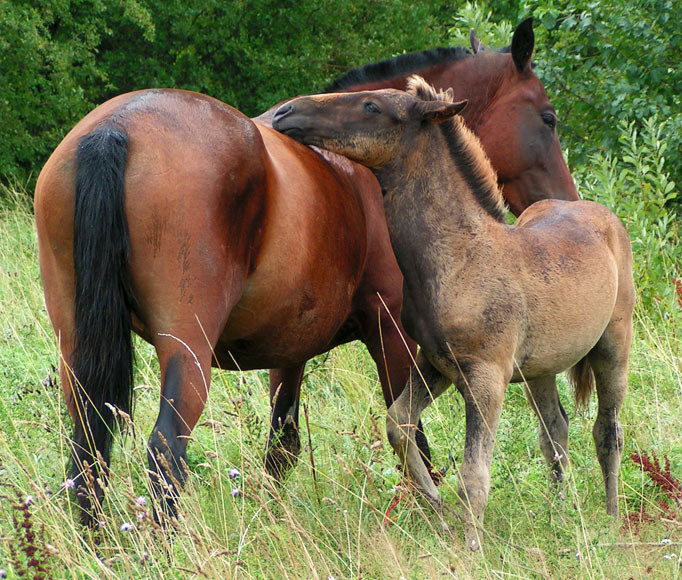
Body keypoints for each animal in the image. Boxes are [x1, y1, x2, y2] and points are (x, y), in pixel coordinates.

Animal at [34, 19, 577, 524]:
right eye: (547, 118)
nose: (566, 204)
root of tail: (118, 127)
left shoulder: (289, 350)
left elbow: (282, 448)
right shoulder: (393, 337)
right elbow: (411, 441)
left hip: (78, 350)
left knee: (87, 453)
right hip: (187, 350)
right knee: (165, 453)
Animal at [271, 77, 634, 551]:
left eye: (372, 106)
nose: (284, 113)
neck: (461, 258)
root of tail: (602, 215)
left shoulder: (486, 377)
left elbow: (473, 475)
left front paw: (471, 547)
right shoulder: (434, 361)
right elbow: (398, 424)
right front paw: (438, 513)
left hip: (613, 346)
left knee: (607, 432)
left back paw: (611, 521)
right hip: (540, 367)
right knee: (555, 430)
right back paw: (557, 515)